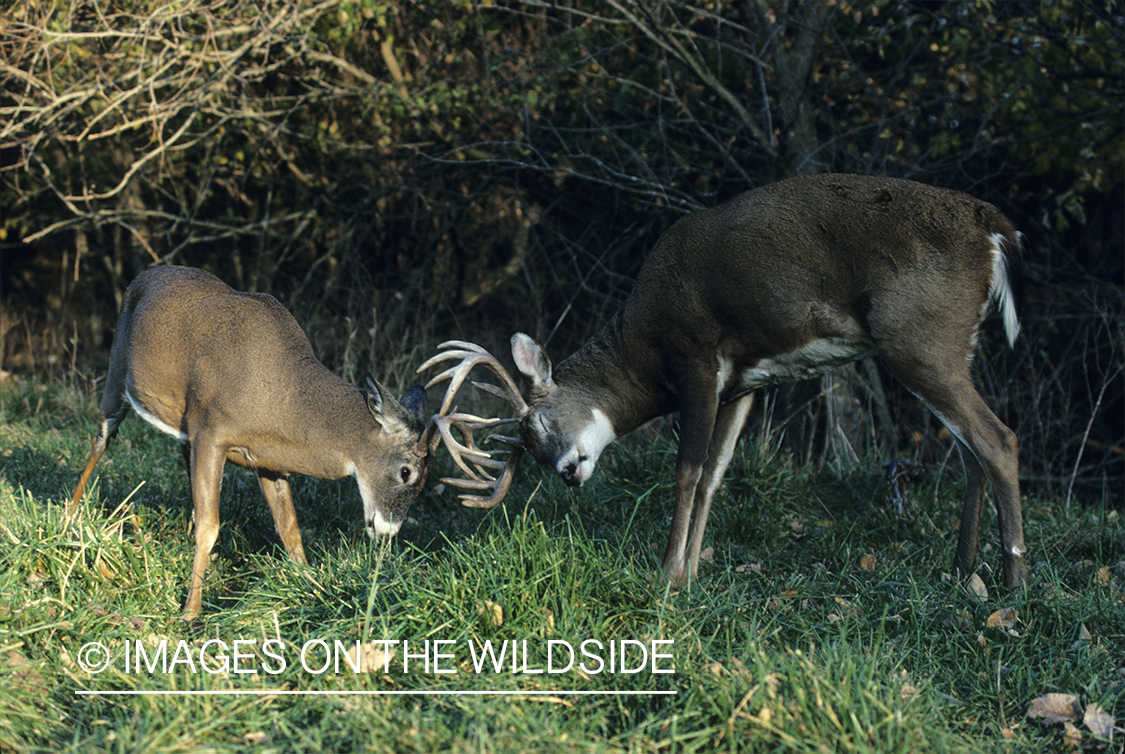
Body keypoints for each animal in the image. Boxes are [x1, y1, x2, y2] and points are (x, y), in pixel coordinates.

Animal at [66, 267, 447, 621]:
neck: (279, 399)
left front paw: (311, 586)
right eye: (406, 471)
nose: (387, 533)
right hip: (117, 371)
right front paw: (190, 612)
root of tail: (147, 273)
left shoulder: (267, 458)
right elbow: (210, 526)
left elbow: (289, 528)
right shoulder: (212, 432)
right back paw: (69, 517)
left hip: (185, 430)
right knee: (101, 439)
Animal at [423, 175, 1030, 589]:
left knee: (998, 439)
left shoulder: (695, 357)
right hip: (952, 345)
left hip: (920, 336)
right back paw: (961, 572)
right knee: (971, 451)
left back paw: (1013, 588)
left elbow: (687, 471)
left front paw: (666, 574)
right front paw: (693, 573)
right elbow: (716, 474)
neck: (644, 350)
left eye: (540, 424)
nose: (570, 474)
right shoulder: (746, 382)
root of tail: (995, 229)